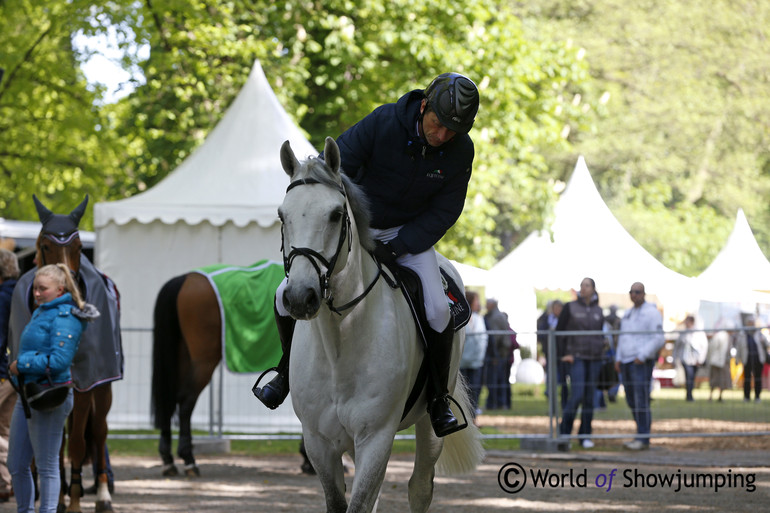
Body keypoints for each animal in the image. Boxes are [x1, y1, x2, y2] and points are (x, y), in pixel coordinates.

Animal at [276, 136, 480, 512]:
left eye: (336, 215)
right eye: (282, 216)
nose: (299, 297)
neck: (339, 343)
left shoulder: (376, 437)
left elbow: (359, 505)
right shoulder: (319, 442)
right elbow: (339, 503)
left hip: (427, 426)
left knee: (419, 487)